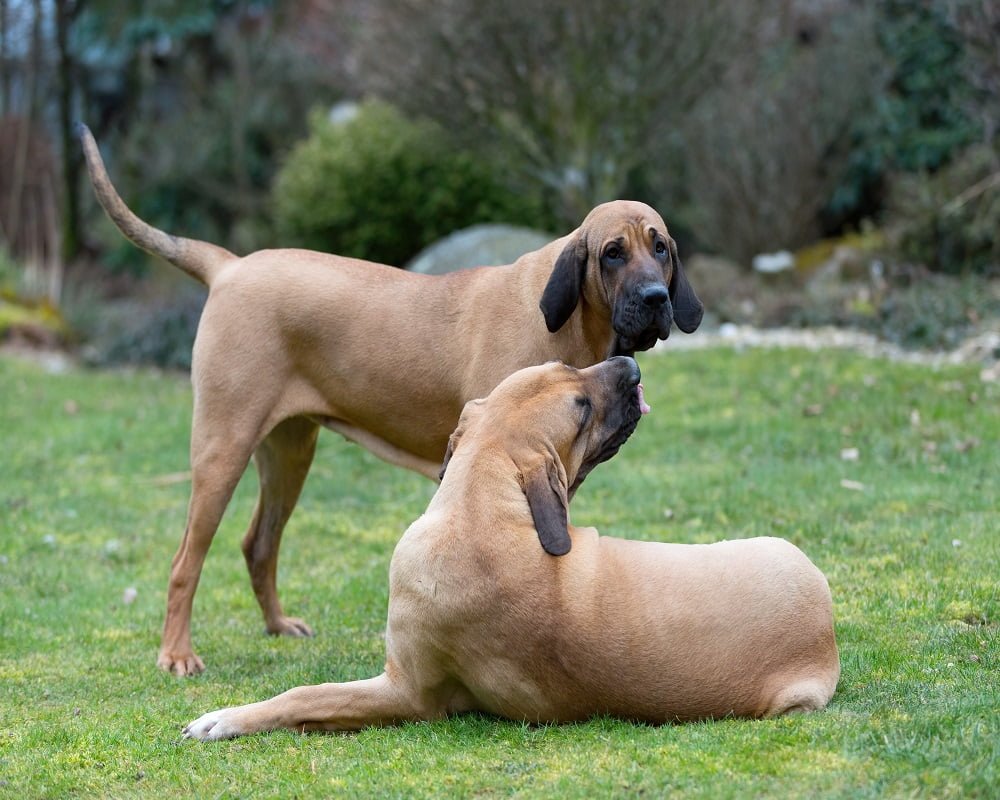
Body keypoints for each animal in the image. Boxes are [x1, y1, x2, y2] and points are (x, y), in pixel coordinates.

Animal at [78, 125, 704, 676]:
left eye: (661, 248)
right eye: (612, 253)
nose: (656, 299)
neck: (571, 320)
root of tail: (230, 267)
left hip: (289, 452)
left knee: (258, 544)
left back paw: (277, 625)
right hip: (221, 449)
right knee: (186, 561)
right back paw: (176, 654)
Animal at [182, 356, 836, 736]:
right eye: (575, 391)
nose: (630, 363)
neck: (478, 510)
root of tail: (825, 631)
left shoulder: (407, 692)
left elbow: (303, 695)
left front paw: (224, 719)